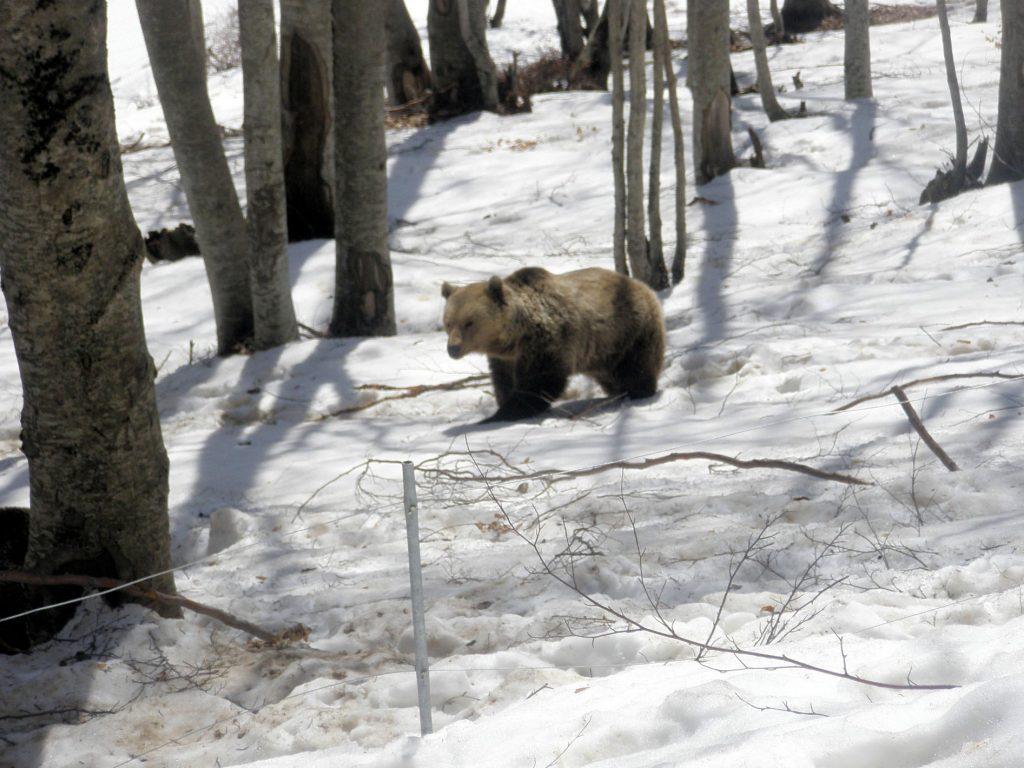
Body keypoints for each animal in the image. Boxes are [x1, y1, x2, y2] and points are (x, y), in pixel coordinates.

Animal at [440, 264, 663, 421]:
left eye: (469, 322)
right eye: (448, 322)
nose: (453, 348)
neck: (514, 337)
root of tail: (643, 286)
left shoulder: (547, 342)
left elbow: (541, 381)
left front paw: (504, 413)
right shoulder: (505, 358)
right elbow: (504, 381)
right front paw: (504, 404)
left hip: (628, 331)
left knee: (636, 367)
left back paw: (638, 391)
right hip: (603, 352)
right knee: (611, 375)